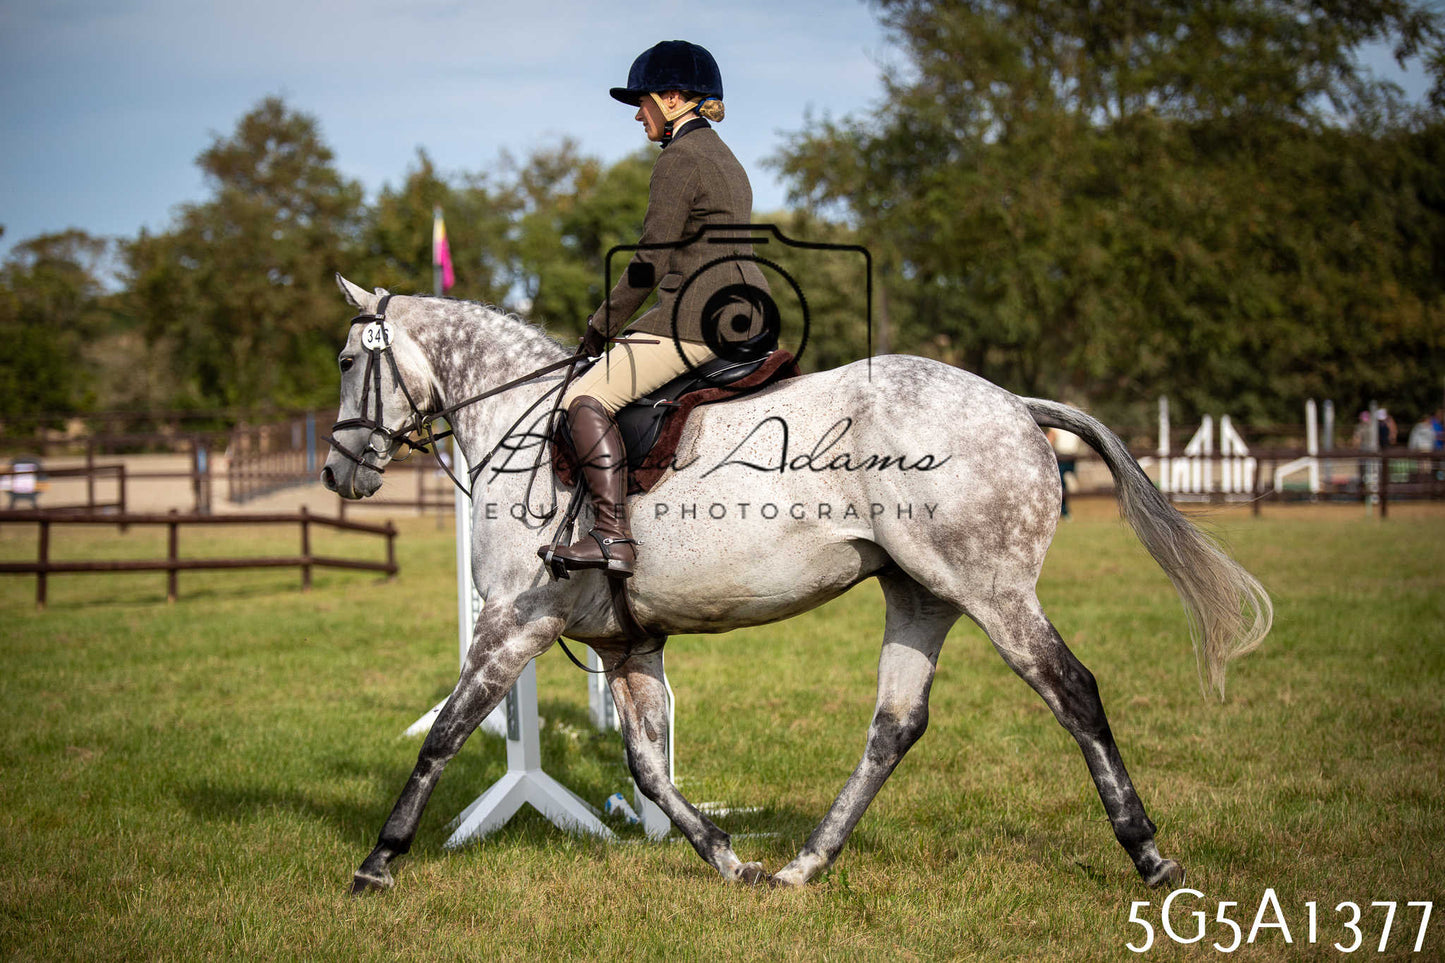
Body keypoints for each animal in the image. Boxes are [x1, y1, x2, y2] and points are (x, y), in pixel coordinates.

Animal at [321, 275, 1272, 893]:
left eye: (345, 360)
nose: (339, 472)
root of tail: (1014, 403)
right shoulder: (624, 639)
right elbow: (648, 765)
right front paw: (726, 856)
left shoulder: (513, 624)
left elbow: (444, 736)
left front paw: (378, 861)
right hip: (920, 594)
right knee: (895, 725)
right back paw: (804, 863)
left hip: (993, 590)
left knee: (1072, 690)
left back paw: (1149, 855)